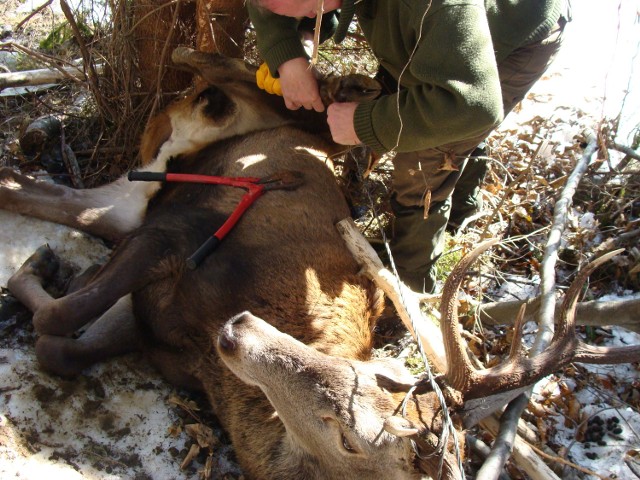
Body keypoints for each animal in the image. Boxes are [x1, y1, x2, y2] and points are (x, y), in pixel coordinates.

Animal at [2, 48, 636, 480]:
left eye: (352, 437)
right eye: (379, 377)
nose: (240, 328)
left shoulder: (156, 310)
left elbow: (57, 343)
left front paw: (51, 278)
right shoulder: (179, 235)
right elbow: (61, 320)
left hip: (143, 191)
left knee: (72, 200)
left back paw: (34, 236)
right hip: (241, 127)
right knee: (236, 74)